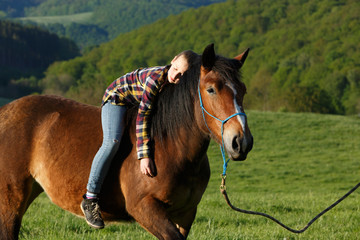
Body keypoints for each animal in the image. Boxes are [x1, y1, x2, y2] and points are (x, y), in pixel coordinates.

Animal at [0, 43, 253, 240]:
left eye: (243, 90)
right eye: (211, 89)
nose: (241, 142)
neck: (171, 146)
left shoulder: (186, 213)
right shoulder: (145, 208)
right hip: (11, 199)